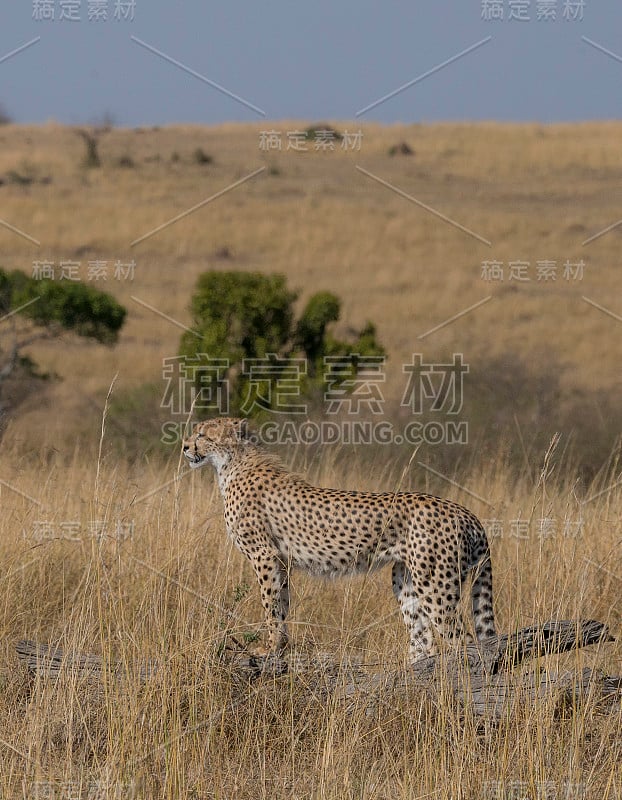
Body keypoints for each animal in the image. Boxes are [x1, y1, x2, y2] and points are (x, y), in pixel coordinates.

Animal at [184, 418, 498, 664]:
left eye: (202, 434)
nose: (185, 446)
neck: (232, 463)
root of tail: (466, 512)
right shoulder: (281, 560)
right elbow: (282, 603)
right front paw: (281, 648)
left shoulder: (264, 555)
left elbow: (270, 605)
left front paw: (268, 649)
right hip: (405, 578)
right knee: (423, 635)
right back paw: (416, 669)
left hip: (436, 585)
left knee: (463, 641)